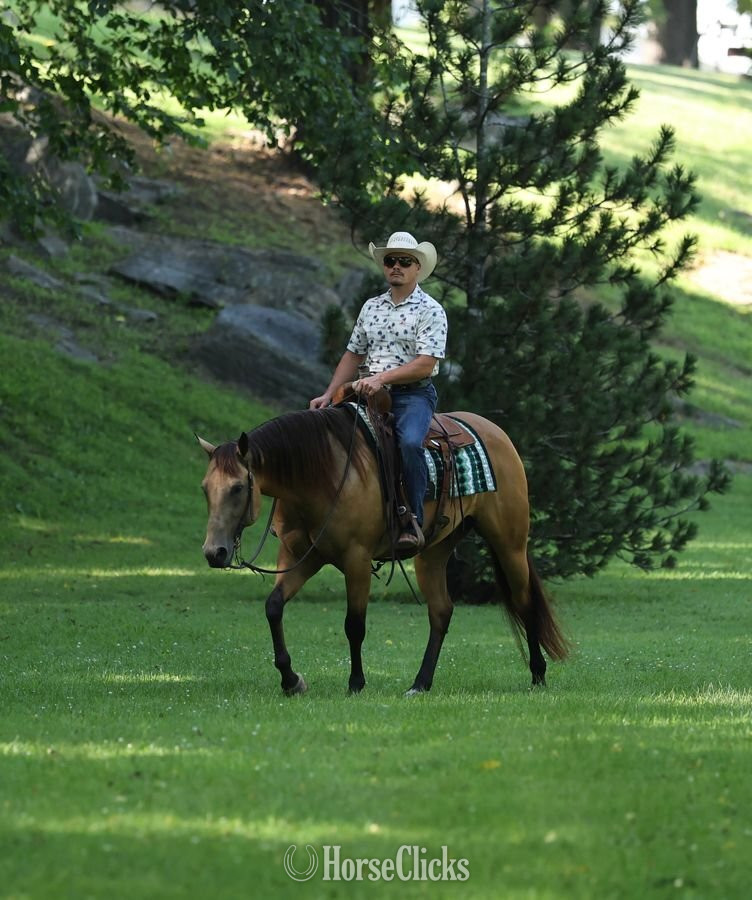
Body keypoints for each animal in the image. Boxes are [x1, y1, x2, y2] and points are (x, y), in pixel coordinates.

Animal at [198, 405, 568, 696]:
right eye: (205, 488)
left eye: (238, 487)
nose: (214, 553)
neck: (321, 475)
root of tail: (495, 432)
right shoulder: (304, 556)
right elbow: (273, 607)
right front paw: (291, 680)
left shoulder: (357, 558)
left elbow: (354, 624)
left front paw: (356, 683)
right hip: (433, 553)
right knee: (441, 611)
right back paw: (420, 683)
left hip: (509, 543)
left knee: (524, 601)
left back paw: (538, 674)